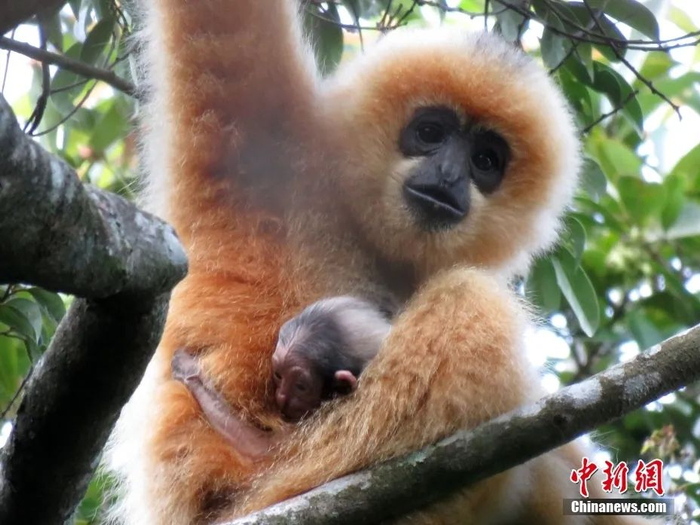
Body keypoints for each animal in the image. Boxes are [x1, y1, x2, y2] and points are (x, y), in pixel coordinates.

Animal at [105, 0, 661, 523]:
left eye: (485, 160)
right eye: (431, 132)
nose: (449, 174)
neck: (368, 235)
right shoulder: (262, 157)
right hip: (274, 487)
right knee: (473, 302)